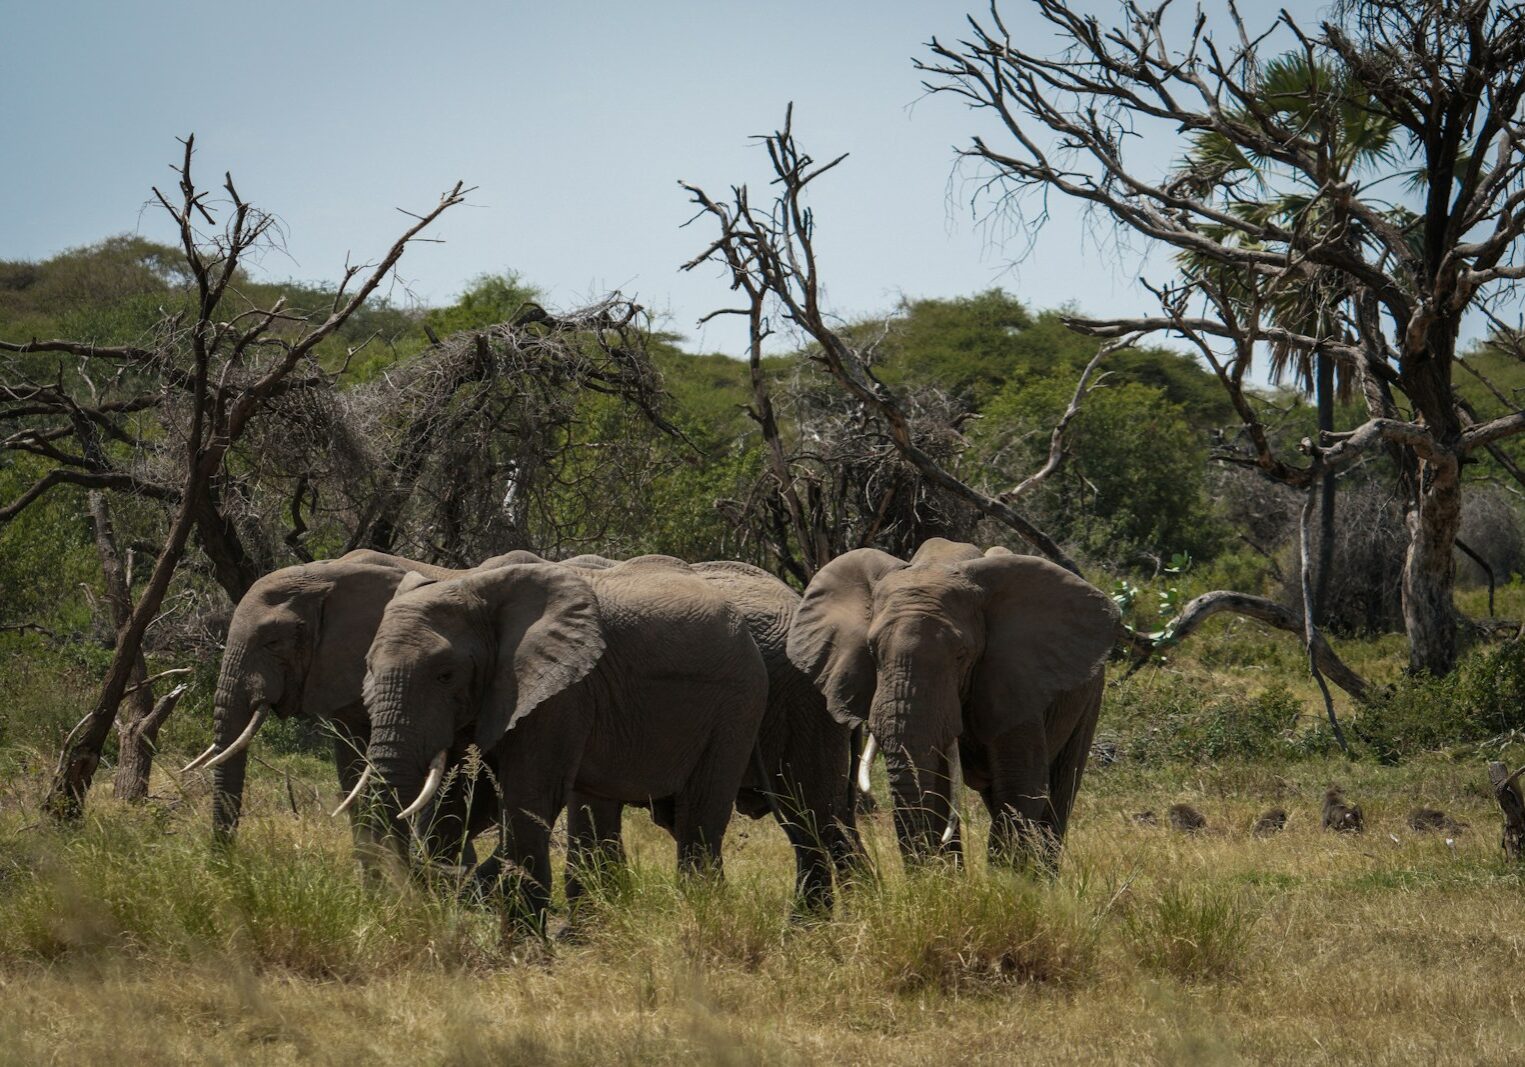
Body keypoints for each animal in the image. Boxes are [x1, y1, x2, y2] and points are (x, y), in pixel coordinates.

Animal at [360, 555, 768, 930]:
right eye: (369, 667)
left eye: (445, 675)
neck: (475, 586)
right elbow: (458, 798)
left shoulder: (560, 693)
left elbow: (529, 798)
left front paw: (523, 943)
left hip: (738, 705)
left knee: (698, 816)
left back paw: (703, 915)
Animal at [786, 538, 1119, 869]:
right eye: (871, 651)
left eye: (961, 656)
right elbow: (938, 787)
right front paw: (947, 877)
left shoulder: (1014, 676)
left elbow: (1020, 785)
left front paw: (1007, 880)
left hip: (1091, 692)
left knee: (1060, 789)